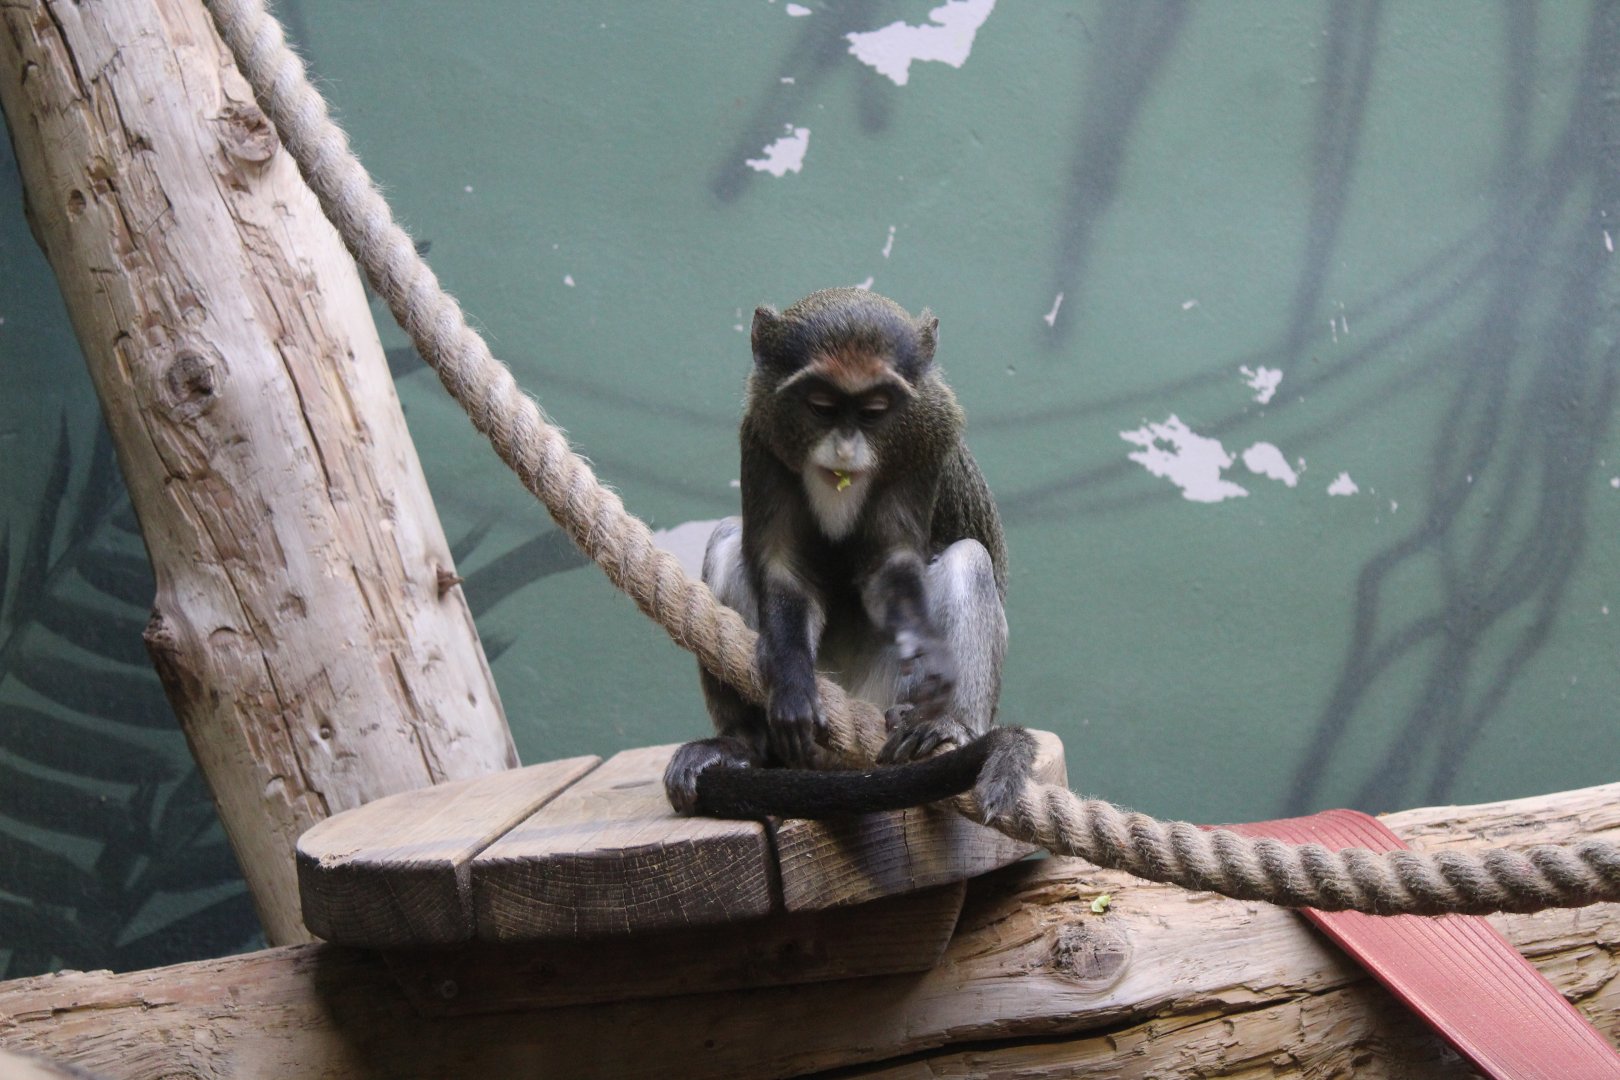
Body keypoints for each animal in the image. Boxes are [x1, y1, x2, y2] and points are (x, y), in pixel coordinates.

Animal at [663, 287, 1032, 821]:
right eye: (821, 406)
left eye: (875, 411)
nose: (844, 449)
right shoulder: (761, 434)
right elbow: (783, 569)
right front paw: (792, 689)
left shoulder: (925, 442)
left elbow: (892, 565)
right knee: (727, 539)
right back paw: (740, 745)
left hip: (887, 693)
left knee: (969, 558)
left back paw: (949, 726)